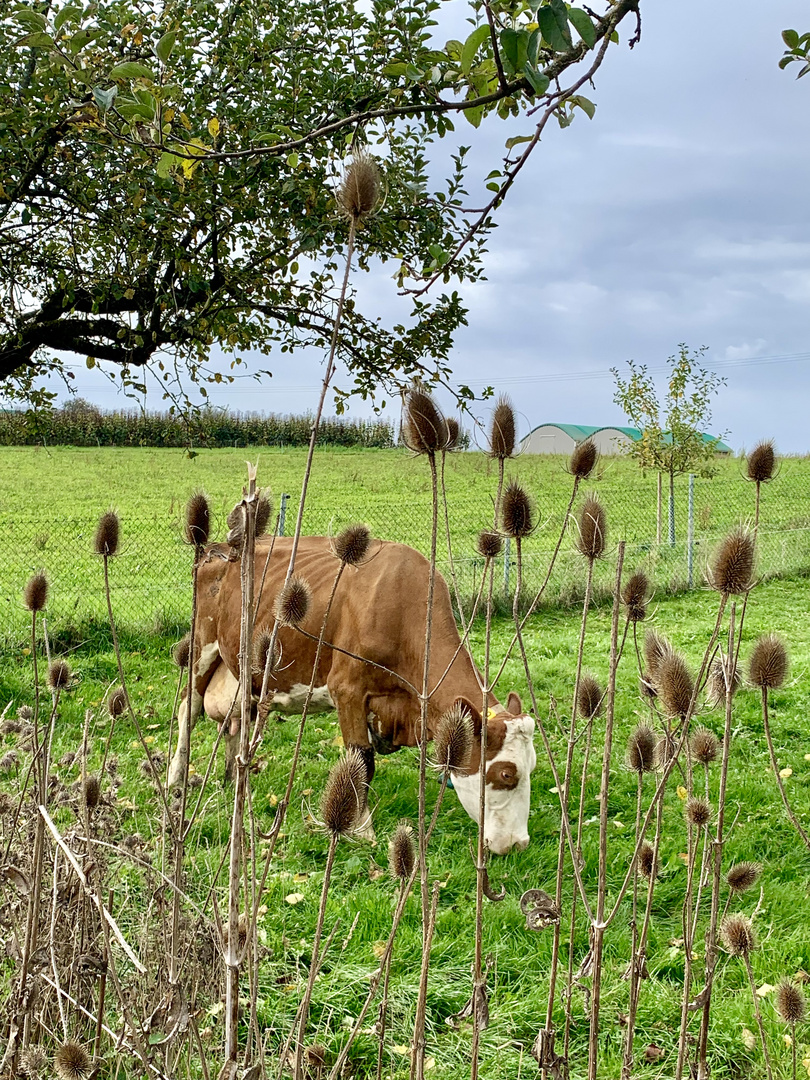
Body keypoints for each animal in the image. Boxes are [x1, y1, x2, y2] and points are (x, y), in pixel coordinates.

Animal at [169, 537, 540, 851]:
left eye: (532, 768)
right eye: (506, 774)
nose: (519, 844)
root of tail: (219, 548)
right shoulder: (346, 689)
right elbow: (362, 759)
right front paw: (361, 829)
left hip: (242, 673)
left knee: (236, 719)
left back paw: (235, 778)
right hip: (202, 645)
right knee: (189, 708)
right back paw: (177, 781)